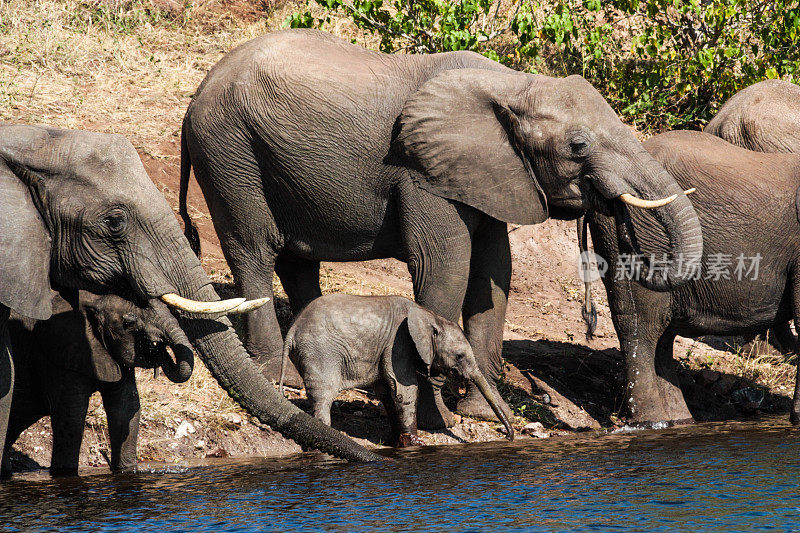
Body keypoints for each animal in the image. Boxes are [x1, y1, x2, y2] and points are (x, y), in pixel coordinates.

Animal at [3, 288, 195, 476]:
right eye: (129, 322)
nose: (159, 347)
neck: (93, 300)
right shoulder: (55, 353)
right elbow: (72, 414)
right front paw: (65, 475)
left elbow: (125, 408)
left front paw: (127, 472)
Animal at [180, 28, 700, 428]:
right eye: (578, 145)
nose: (613, 217)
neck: (513, 84)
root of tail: (196, 95)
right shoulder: (421, 170)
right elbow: (446, 264)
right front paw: (441, 421)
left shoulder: (489, 172)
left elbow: (494, 272)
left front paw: (478, 415)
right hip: (229, 150)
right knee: (254, 249)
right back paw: (279, 376)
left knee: (297, 260)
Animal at [278, 294, 516, 446]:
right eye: (459, 356)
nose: (508, 436)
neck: (430, 317)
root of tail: (292, 329)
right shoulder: (398, 343)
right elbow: (405, 389)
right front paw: (416, 443)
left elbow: (387, 391)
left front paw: (395, 441)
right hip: (319, 352)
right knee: (323, 395)